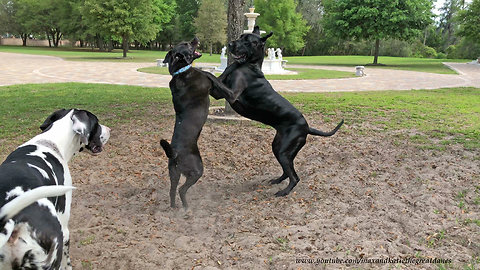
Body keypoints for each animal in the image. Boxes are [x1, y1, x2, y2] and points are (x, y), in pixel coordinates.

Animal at [161, 37, 236, 209]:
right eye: (187, 44)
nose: (195, 38)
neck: (181, 71)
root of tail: (175, 153)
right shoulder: (215, 87)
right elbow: (221, 78)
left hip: (173, 173)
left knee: (172, 190)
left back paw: (175, 208)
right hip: (197, 170)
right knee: (182, 189)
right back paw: (186, 207)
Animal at [219, 26, 344, 197]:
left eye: (247, 41)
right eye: (240, 37)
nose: (230, 44)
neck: (250, 66)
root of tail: (307, 127)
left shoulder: (231, 95)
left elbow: (212, 77)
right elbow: (220, 75)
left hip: (284, 151)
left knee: (295, 177)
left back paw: (284, 192)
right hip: (280, 148)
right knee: (287, 172)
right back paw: (277, 181)